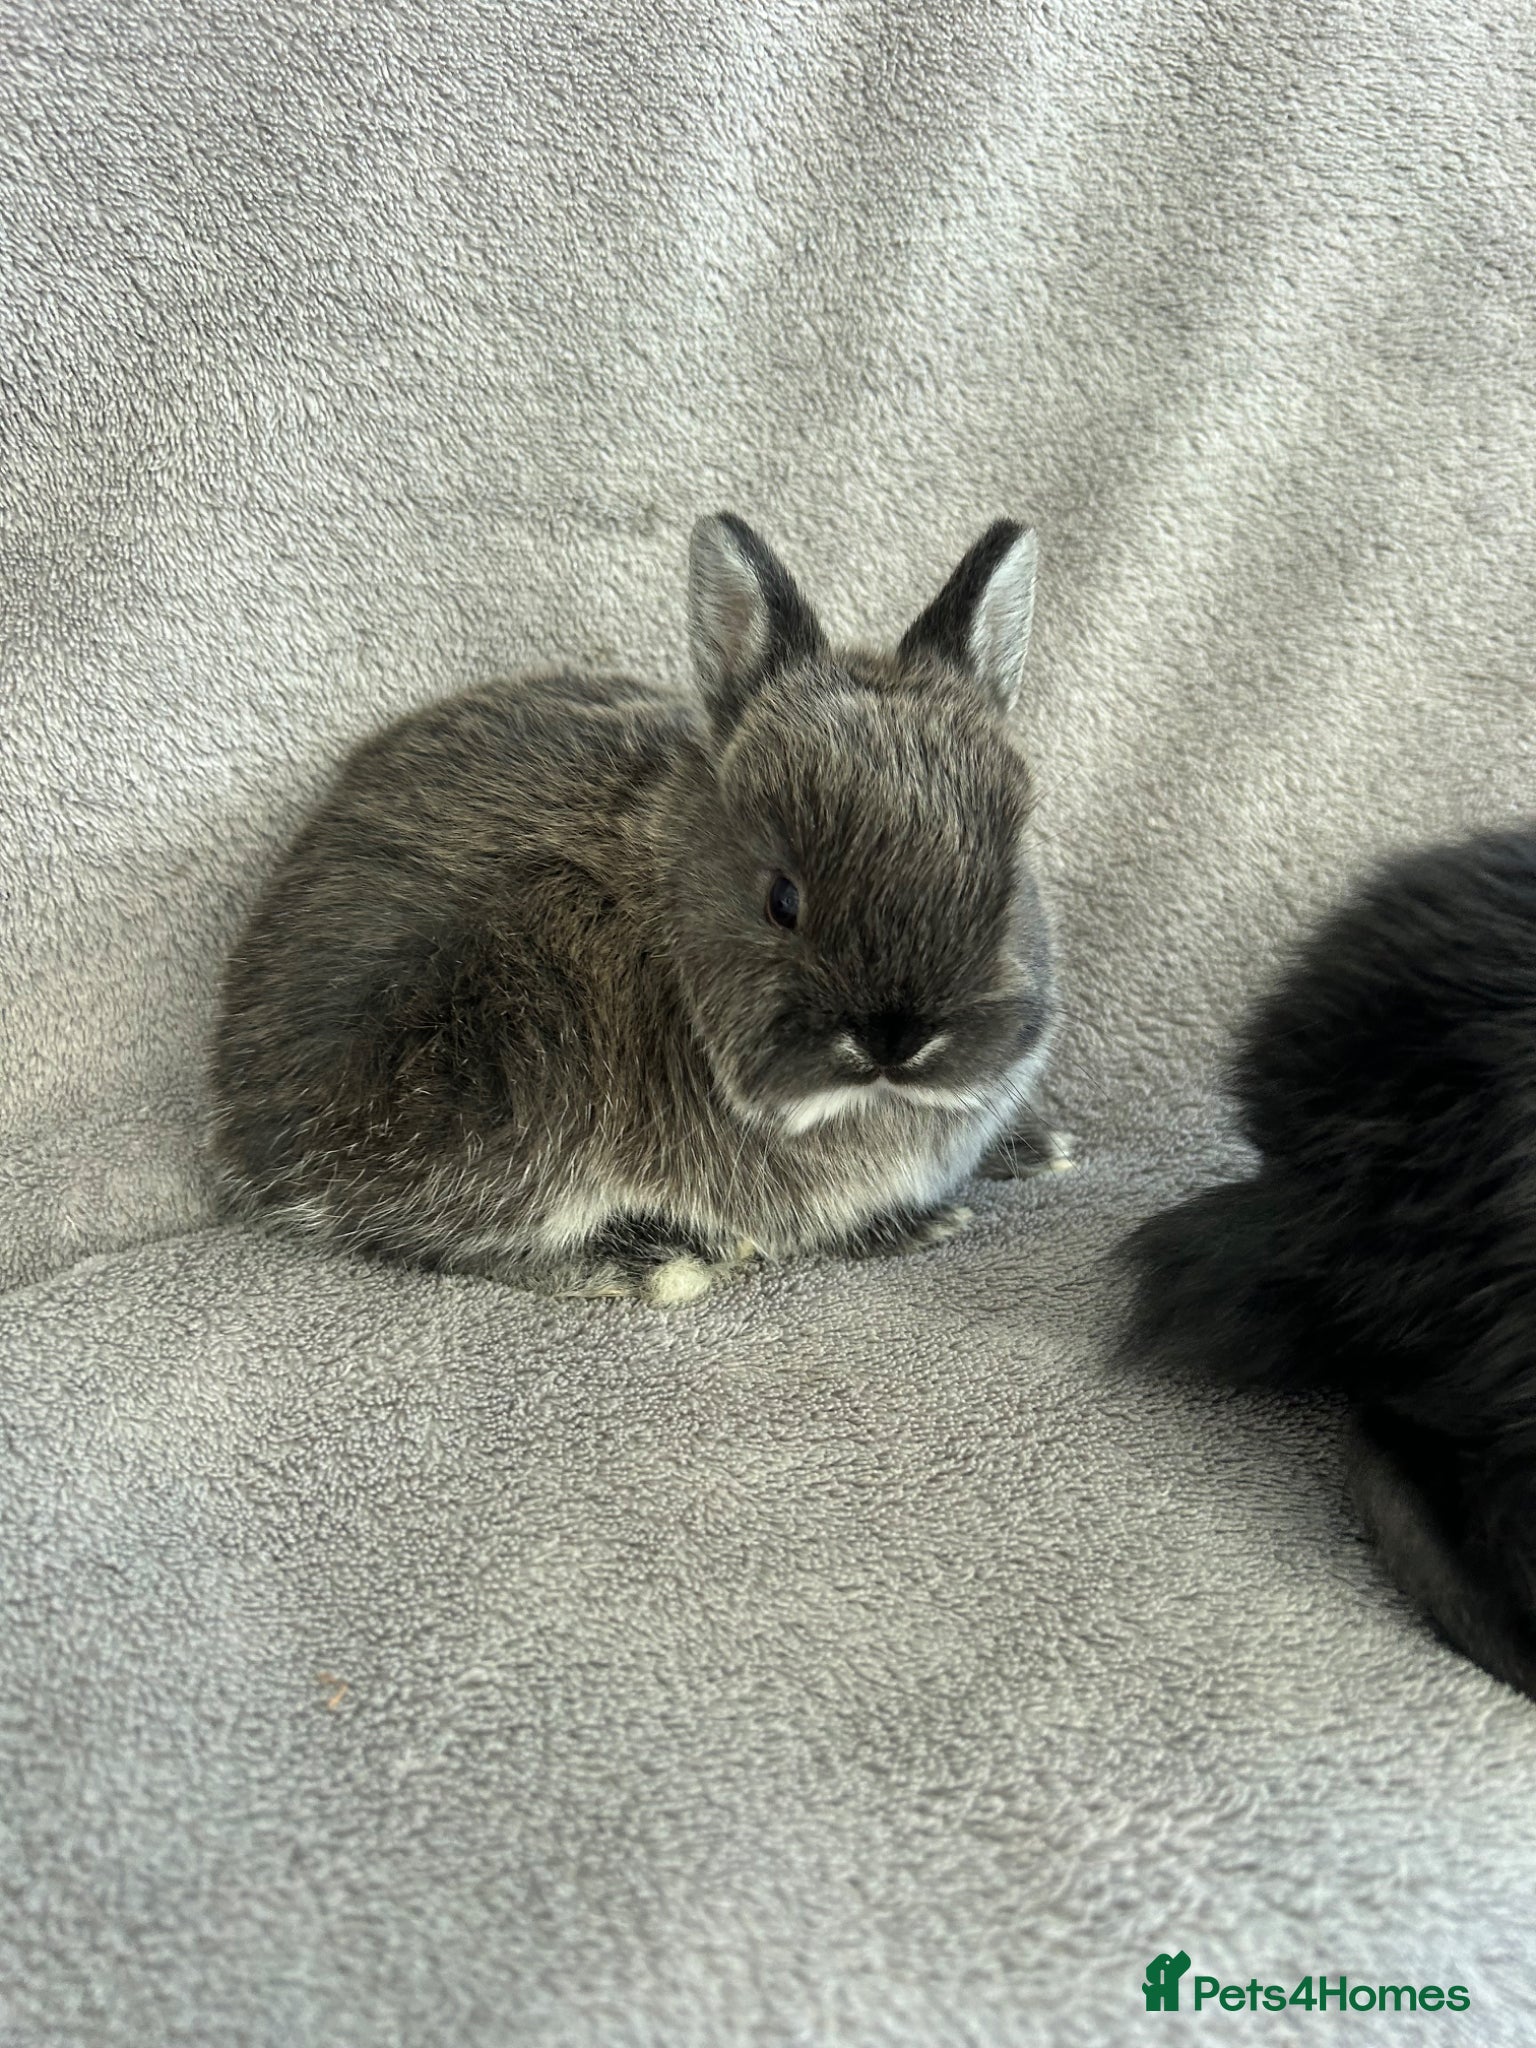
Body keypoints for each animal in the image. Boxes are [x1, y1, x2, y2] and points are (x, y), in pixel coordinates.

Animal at [209, 512, 1070, 1305]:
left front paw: (1035, 1148)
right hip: (512, 1070)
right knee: (431, 1235)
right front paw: (920, 1225)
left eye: (1008, 879)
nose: (896, 1040)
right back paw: (652, 1263)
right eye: (782, 900)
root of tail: (241, 1116)